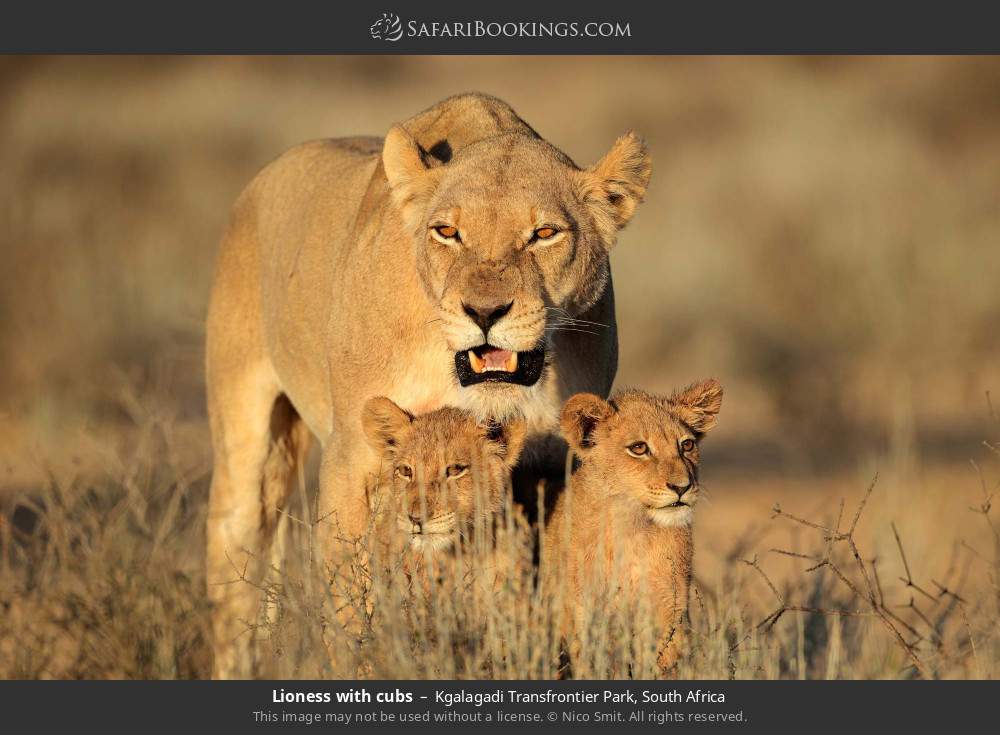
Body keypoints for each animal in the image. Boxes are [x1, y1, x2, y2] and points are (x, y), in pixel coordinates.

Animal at [205, 93, 651, 677]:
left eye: (544, 234)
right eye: (448, 232)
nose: (484, 312)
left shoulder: (553, 468)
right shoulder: (354, 458)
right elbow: (350, 600)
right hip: (245, 442)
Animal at [543, 379, 723, 676]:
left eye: (687, 445)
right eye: (639, 448)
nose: (682, 487)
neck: (633, 529)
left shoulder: (669, 611)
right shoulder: (586, 613)